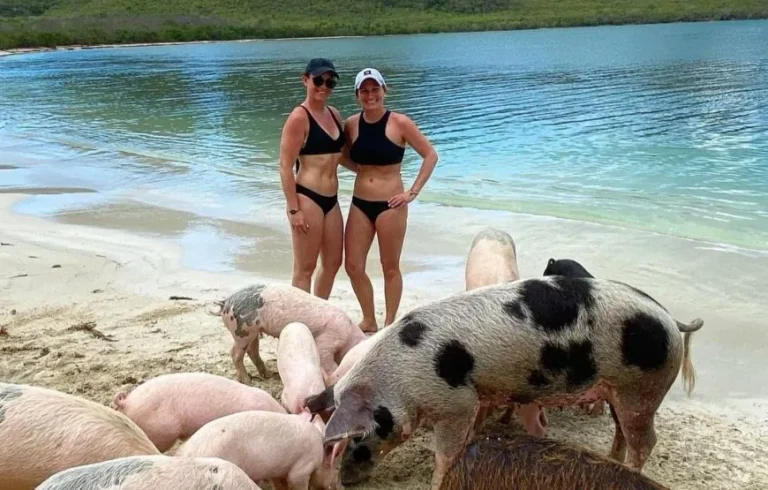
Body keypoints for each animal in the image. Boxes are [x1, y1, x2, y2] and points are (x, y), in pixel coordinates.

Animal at [175, 410, 346, 490]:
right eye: (336, 469)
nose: (340, 487)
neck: (320, 453)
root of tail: (185, 452)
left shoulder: (278, 471)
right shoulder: (301, 469)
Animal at [207, 283, 366, 384]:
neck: (349, 333)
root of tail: (226, 302)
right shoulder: (329, 338)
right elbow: (324, 356)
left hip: (254, 331)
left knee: (253, 351)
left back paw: (269, 375)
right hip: (243, 330)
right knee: (235, 353)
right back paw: (248, 381)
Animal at [305, 276, 704, 489]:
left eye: (357, 437)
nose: (347, 478)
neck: (398, 379)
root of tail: (670, 318)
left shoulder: (455, 403)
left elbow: (446, 451)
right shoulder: (476, 397)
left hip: (643, 389)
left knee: (646, 440)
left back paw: (631, 468)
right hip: (623, 391)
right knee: (624, 430)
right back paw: (611, 458)